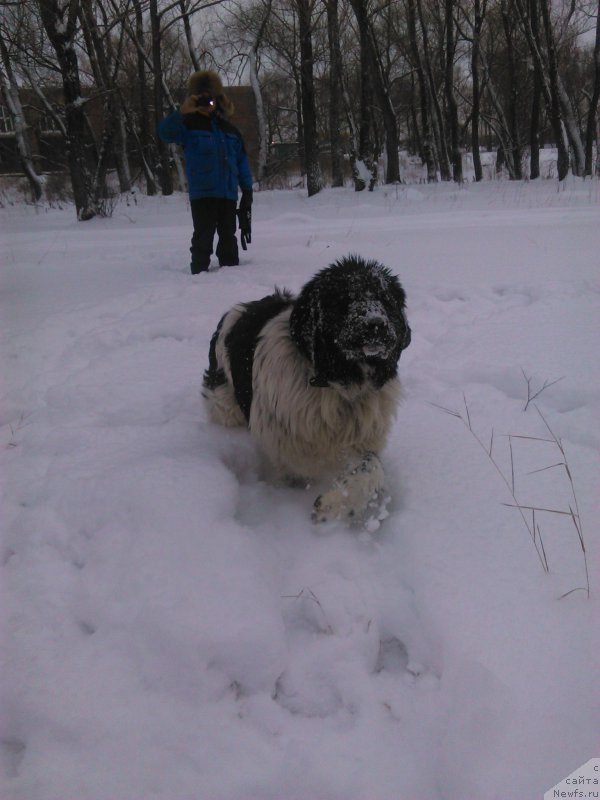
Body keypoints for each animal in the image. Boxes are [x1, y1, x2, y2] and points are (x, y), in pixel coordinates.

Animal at [204, 256, 410, 528]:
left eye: (386, 299)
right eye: (344, 300)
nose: (376, 324)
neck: (339, 384)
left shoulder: (363, 437)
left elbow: (371, 467)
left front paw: (337, 504)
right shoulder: (287, 444)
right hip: (224, 401)